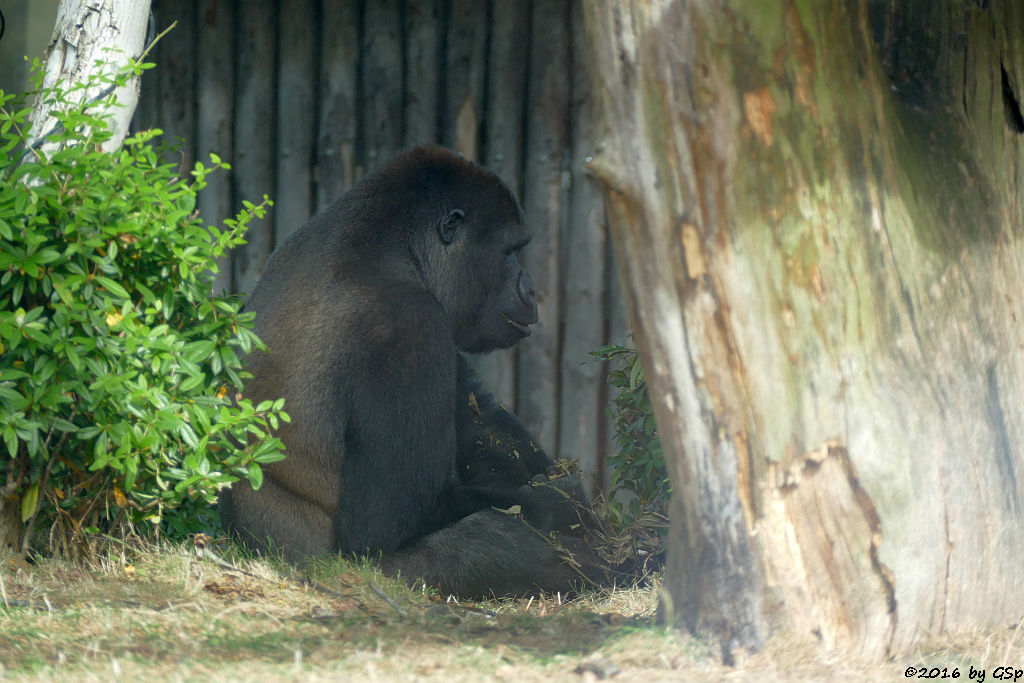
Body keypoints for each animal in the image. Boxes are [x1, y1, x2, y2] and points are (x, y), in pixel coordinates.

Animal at [218, 145, 598, 598]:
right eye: (510, 252)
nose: (530, 289)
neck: (389, 245)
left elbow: (479, 418)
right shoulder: (409, 323)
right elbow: (390, 522)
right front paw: (563, 505)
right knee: (494, 543)